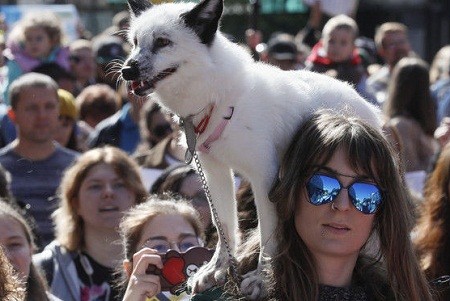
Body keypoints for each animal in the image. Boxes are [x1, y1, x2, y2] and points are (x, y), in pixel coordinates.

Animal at [121, 0, 382, 296]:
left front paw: (262, 279)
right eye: (135, 42)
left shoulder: (265, 177)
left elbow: (269, 232)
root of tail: (365, 104)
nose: (126, 71)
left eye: (163, 42)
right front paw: (217, 268)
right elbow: (223, 223)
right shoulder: (214, 173)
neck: (219, 99)